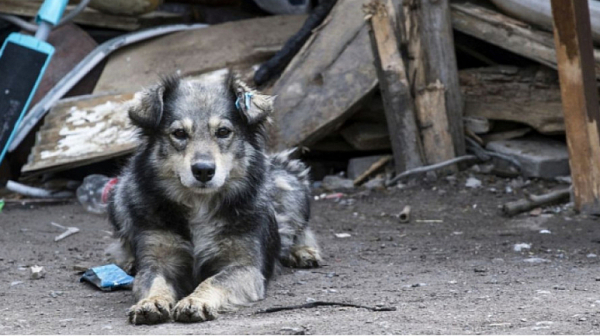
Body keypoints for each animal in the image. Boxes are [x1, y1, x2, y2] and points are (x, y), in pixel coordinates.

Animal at [108, 75, 324, 324]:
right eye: (179, 133)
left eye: (223, 131)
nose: (203, 170)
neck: (200, 204)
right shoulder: (157, 261)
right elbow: (155, 282)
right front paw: (151, 302)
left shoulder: (245, 267)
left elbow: (213, 281)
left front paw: (195, 301)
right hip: (122, 191)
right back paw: (129, 261)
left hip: (290, 182)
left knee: (298, 229)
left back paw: (302, 251)